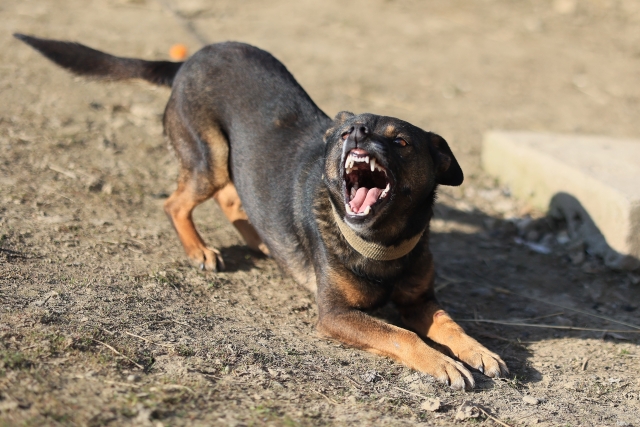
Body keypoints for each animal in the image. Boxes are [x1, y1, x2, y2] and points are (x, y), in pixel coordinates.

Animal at [15, 33, 510, 390]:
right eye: (348, 131)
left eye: (401, 141)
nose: (357, 133)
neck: (379, 242)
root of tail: (189, 59)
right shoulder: (335, 315)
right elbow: (401, 334)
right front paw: (443, 364)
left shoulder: (421, 300)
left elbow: (449, 325)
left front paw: (479, 351)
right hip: (211, 158)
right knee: (177, 201)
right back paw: (199, 249)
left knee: (235, 199)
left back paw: (262, 241)